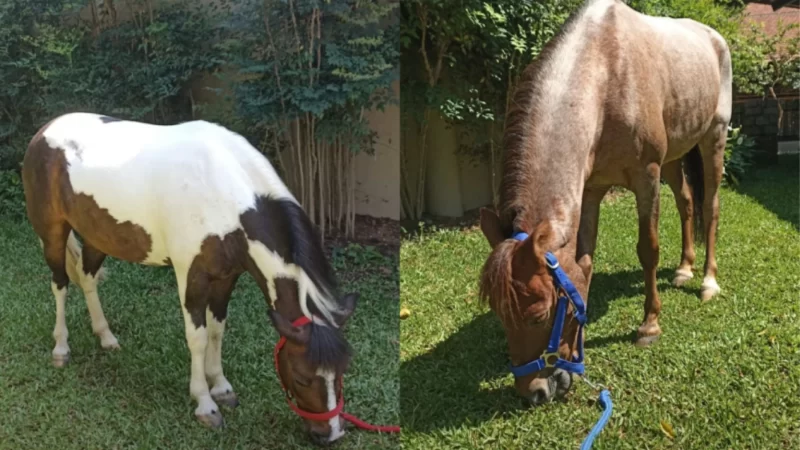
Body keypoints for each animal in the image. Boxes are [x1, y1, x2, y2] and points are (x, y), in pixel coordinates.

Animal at [22, 112, 359, 443]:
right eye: (301, 377)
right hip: (53, 233)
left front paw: (221, 387)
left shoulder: (226, 277)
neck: (223, 192)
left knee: (88, 278)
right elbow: (197, 338)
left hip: (98, 236)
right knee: (60, 284)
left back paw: (106, 337)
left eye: (342, 370)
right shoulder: (191, 275)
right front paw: (205, 404)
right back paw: (61, 348)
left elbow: (217, 331)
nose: (331, 434)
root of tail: (45, 130)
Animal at [478, 0, 731, 405]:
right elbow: (584, 263)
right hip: (675, 156)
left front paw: (649, 326)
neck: (606, 74)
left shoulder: (647, 177)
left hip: (713, 139)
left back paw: (707, 281)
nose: (534, 393)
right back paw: (684, 270)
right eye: (501, 316)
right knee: (687, 203)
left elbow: (648, 250)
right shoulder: (592, 190)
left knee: (710, 208)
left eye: (538, 316)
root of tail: (714, 37)